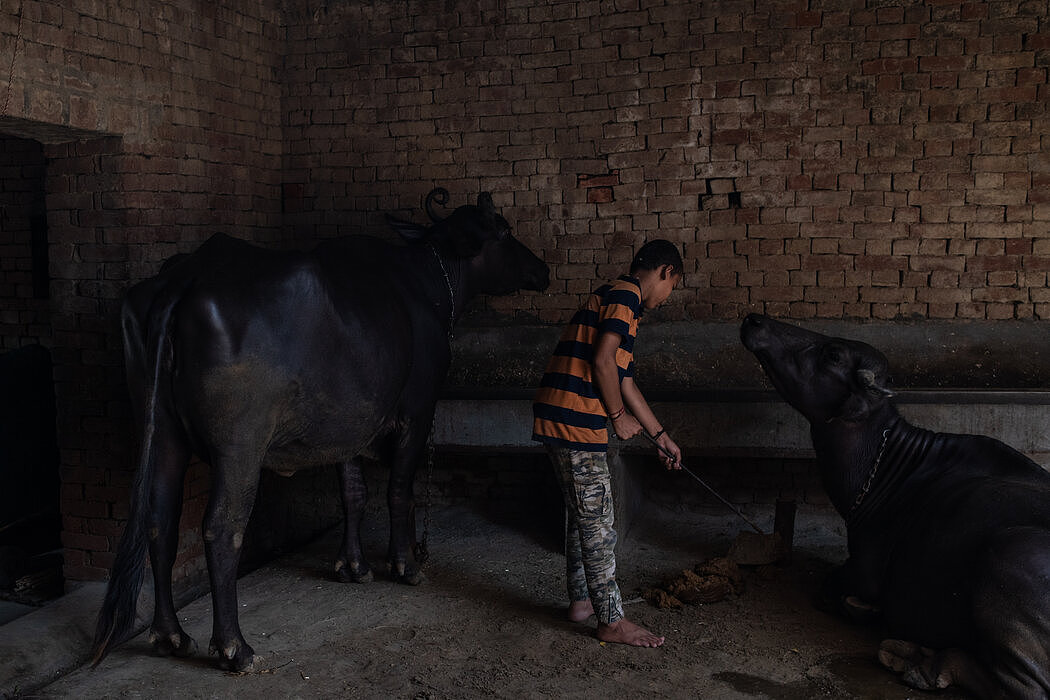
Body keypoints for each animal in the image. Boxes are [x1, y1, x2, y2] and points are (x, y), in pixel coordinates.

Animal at [92, 188, 550, 671]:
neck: (426, 286)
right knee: (221, 527)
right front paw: (405, 565)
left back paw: (170, 635)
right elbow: (399, 492)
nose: (542, 269)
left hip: (161, 433)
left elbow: (353, 494)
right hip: (240, 447)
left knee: (159, 521)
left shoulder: (347, 425)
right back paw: (234, 646)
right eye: (504, 230)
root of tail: (184, 278)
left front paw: (353, 566)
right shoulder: (418, 412)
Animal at [739, 316, 1050, 700]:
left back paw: (927, 664)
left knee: (1023, 688)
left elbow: (829, 588)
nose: (756, 319)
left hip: (1009, 556)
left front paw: (862, 607)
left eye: (833, 353)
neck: (887, 470)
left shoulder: (863, 570)